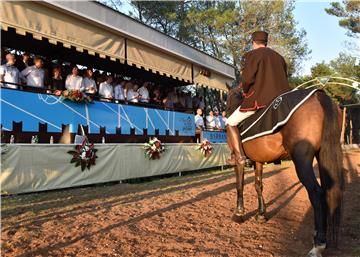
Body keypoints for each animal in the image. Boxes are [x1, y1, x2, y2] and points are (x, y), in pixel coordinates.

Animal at [231, 90, 344, 256]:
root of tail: (318, 94)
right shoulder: (258, 161)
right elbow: (258, 185)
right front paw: (261, 214)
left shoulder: (237, 160)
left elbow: (240, 185)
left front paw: (238, 214)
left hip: (301, 160)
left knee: (316, 193)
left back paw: (318, 244)